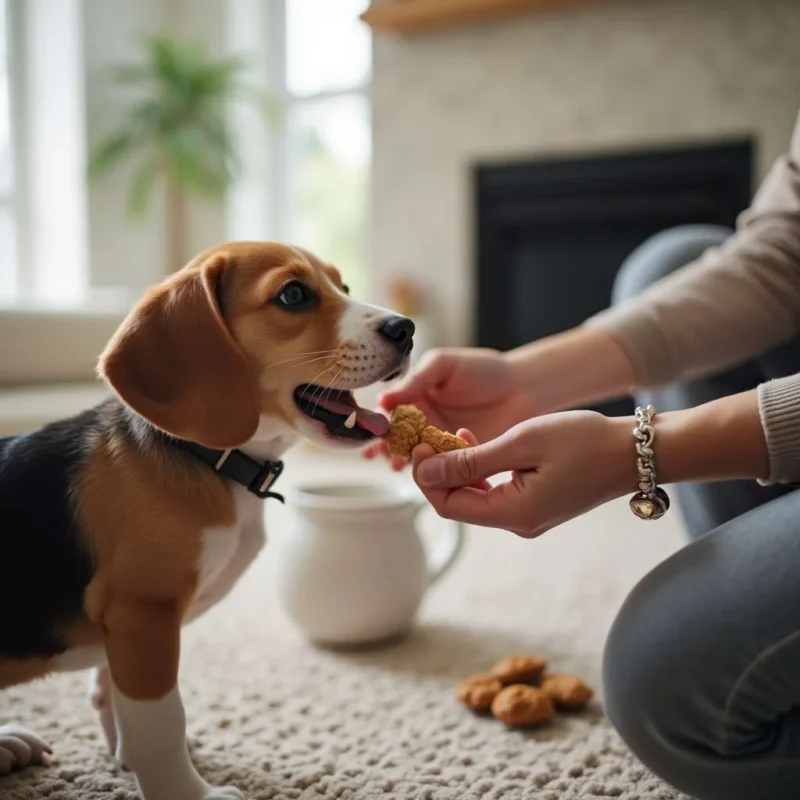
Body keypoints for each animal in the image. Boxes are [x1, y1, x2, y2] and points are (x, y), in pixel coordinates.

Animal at [0, 242, 412, 800]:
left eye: (342, 287)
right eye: (294, 295)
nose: (406, 328)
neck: (211, 461)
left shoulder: (121, 631)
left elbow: (115, 699)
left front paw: (127, 758)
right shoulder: (142, 614)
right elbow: (160, 723)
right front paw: (187, 791)